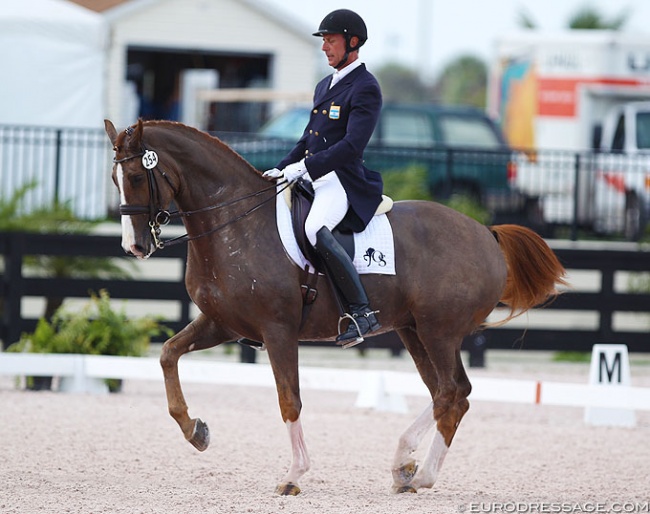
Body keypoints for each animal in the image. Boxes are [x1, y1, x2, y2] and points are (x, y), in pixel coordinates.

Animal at [104, 118, 564, 494]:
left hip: (440, 332)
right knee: (449, 394)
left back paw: (421, 474)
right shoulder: (224, 323)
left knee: (450, 393)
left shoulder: (278, 330)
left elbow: (289, 399)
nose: (134, 246)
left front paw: (293, 475)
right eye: (114, 178)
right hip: (414, 331)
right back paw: (405, 467)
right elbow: (168, 354)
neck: (234, 223)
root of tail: (487, 234)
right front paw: (195, 431)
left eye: (136, 176)